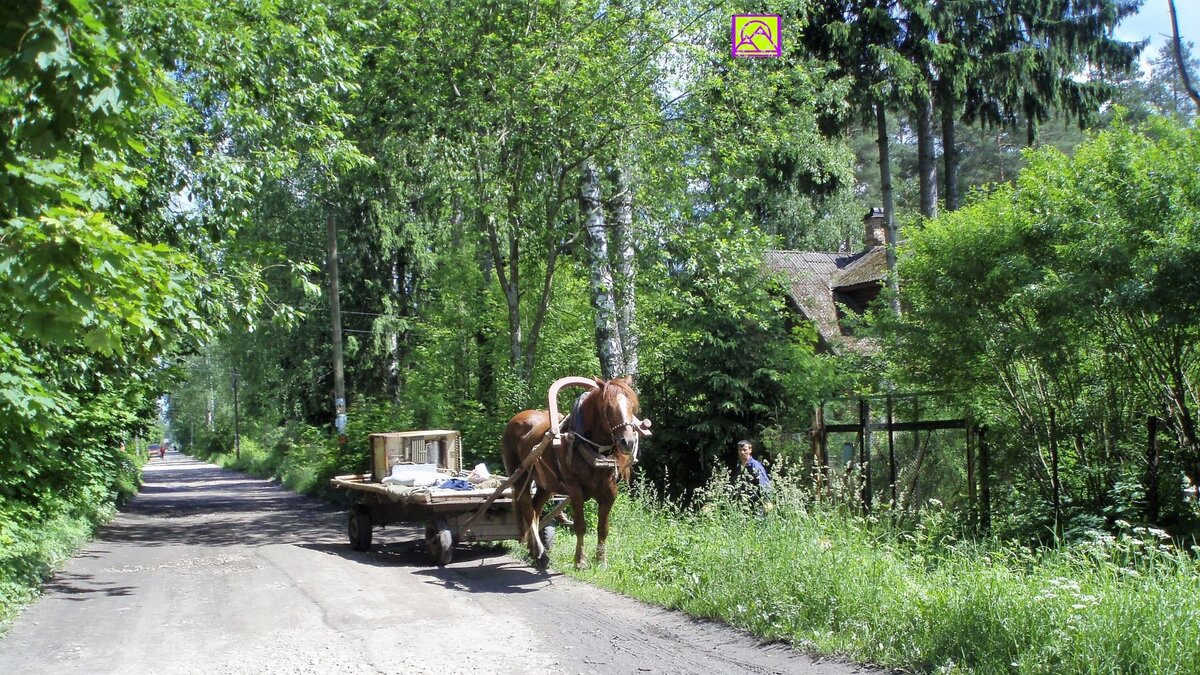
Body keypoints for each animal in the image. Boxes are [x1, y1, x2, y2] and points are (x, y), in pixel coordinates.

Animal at [499, 374, 643, 564]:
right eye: (608, 407)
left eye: (632, 406)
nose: (628, 442)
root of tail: (517, 418)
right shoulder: (575, 491)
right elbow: (580, 526)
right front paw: (580, 561)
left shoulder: (610, 492)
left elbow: (603, 527)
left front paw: (601, 561)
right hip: (520, 475)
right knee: (528, 509)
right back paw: (540, 552)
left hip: (546, 484)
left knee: (536, 509)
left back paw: (533, 550)